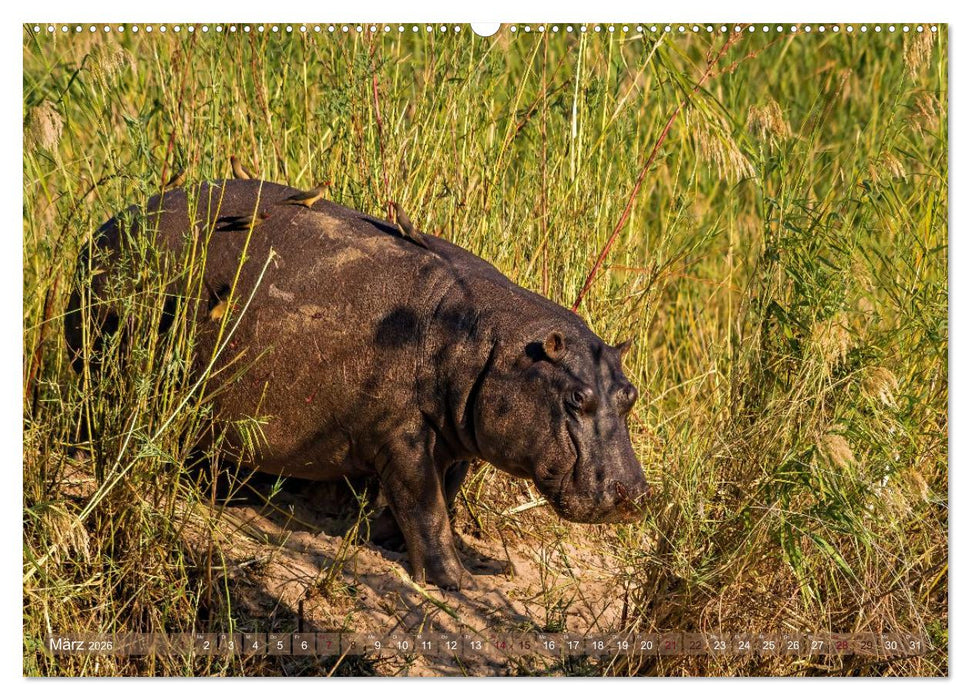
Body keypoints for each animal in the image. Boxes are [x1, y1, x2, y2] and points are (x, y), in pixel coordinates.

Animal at [65, 179, 650, 590]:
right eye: (577, 397)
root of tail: (103, 229)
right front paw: (459, 583)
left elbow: (441, 502)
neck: (490, 343)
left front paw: (474, 564)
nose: (636, 495)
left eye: (630, 394)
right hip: (106, 368)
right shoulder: (402, 436)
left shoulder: (455, 443)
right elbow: (426, 508)